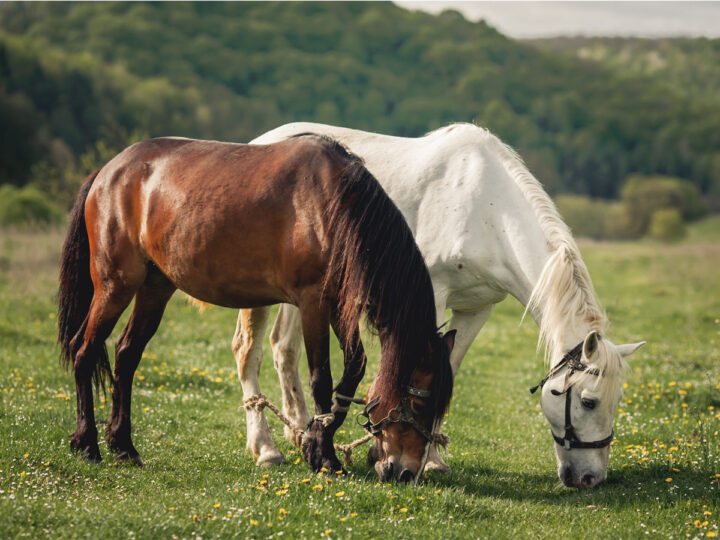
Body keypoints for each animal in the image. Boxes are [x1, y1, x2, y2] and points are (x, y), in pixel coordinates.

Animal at [59, 135, 452, 480]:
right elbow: (321, 379)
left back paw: (123, 446)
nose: (406, 473)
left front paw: (316, 441)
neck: (334, 206)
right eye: (420, 404)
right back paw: (88, 445)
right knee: (84, 350)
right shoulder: (313, 303)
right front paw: (323, 456)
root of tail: (108, 171)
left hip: (155, 288)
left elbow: (353, 368)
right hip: (115, 286)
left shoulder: (339, 304)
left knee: (126, 356)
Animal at [233, 123, 644, 490]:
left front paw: (430, 457)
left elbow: (449, 368)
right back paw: (267, 448)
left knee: (284, 349)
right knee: (249, 351)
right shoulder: (430, 297)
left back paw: (302, 431)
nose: (591, 478)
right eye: (588, 402)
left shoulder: (478, 309)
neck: (488, 211)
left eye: (617, 401)